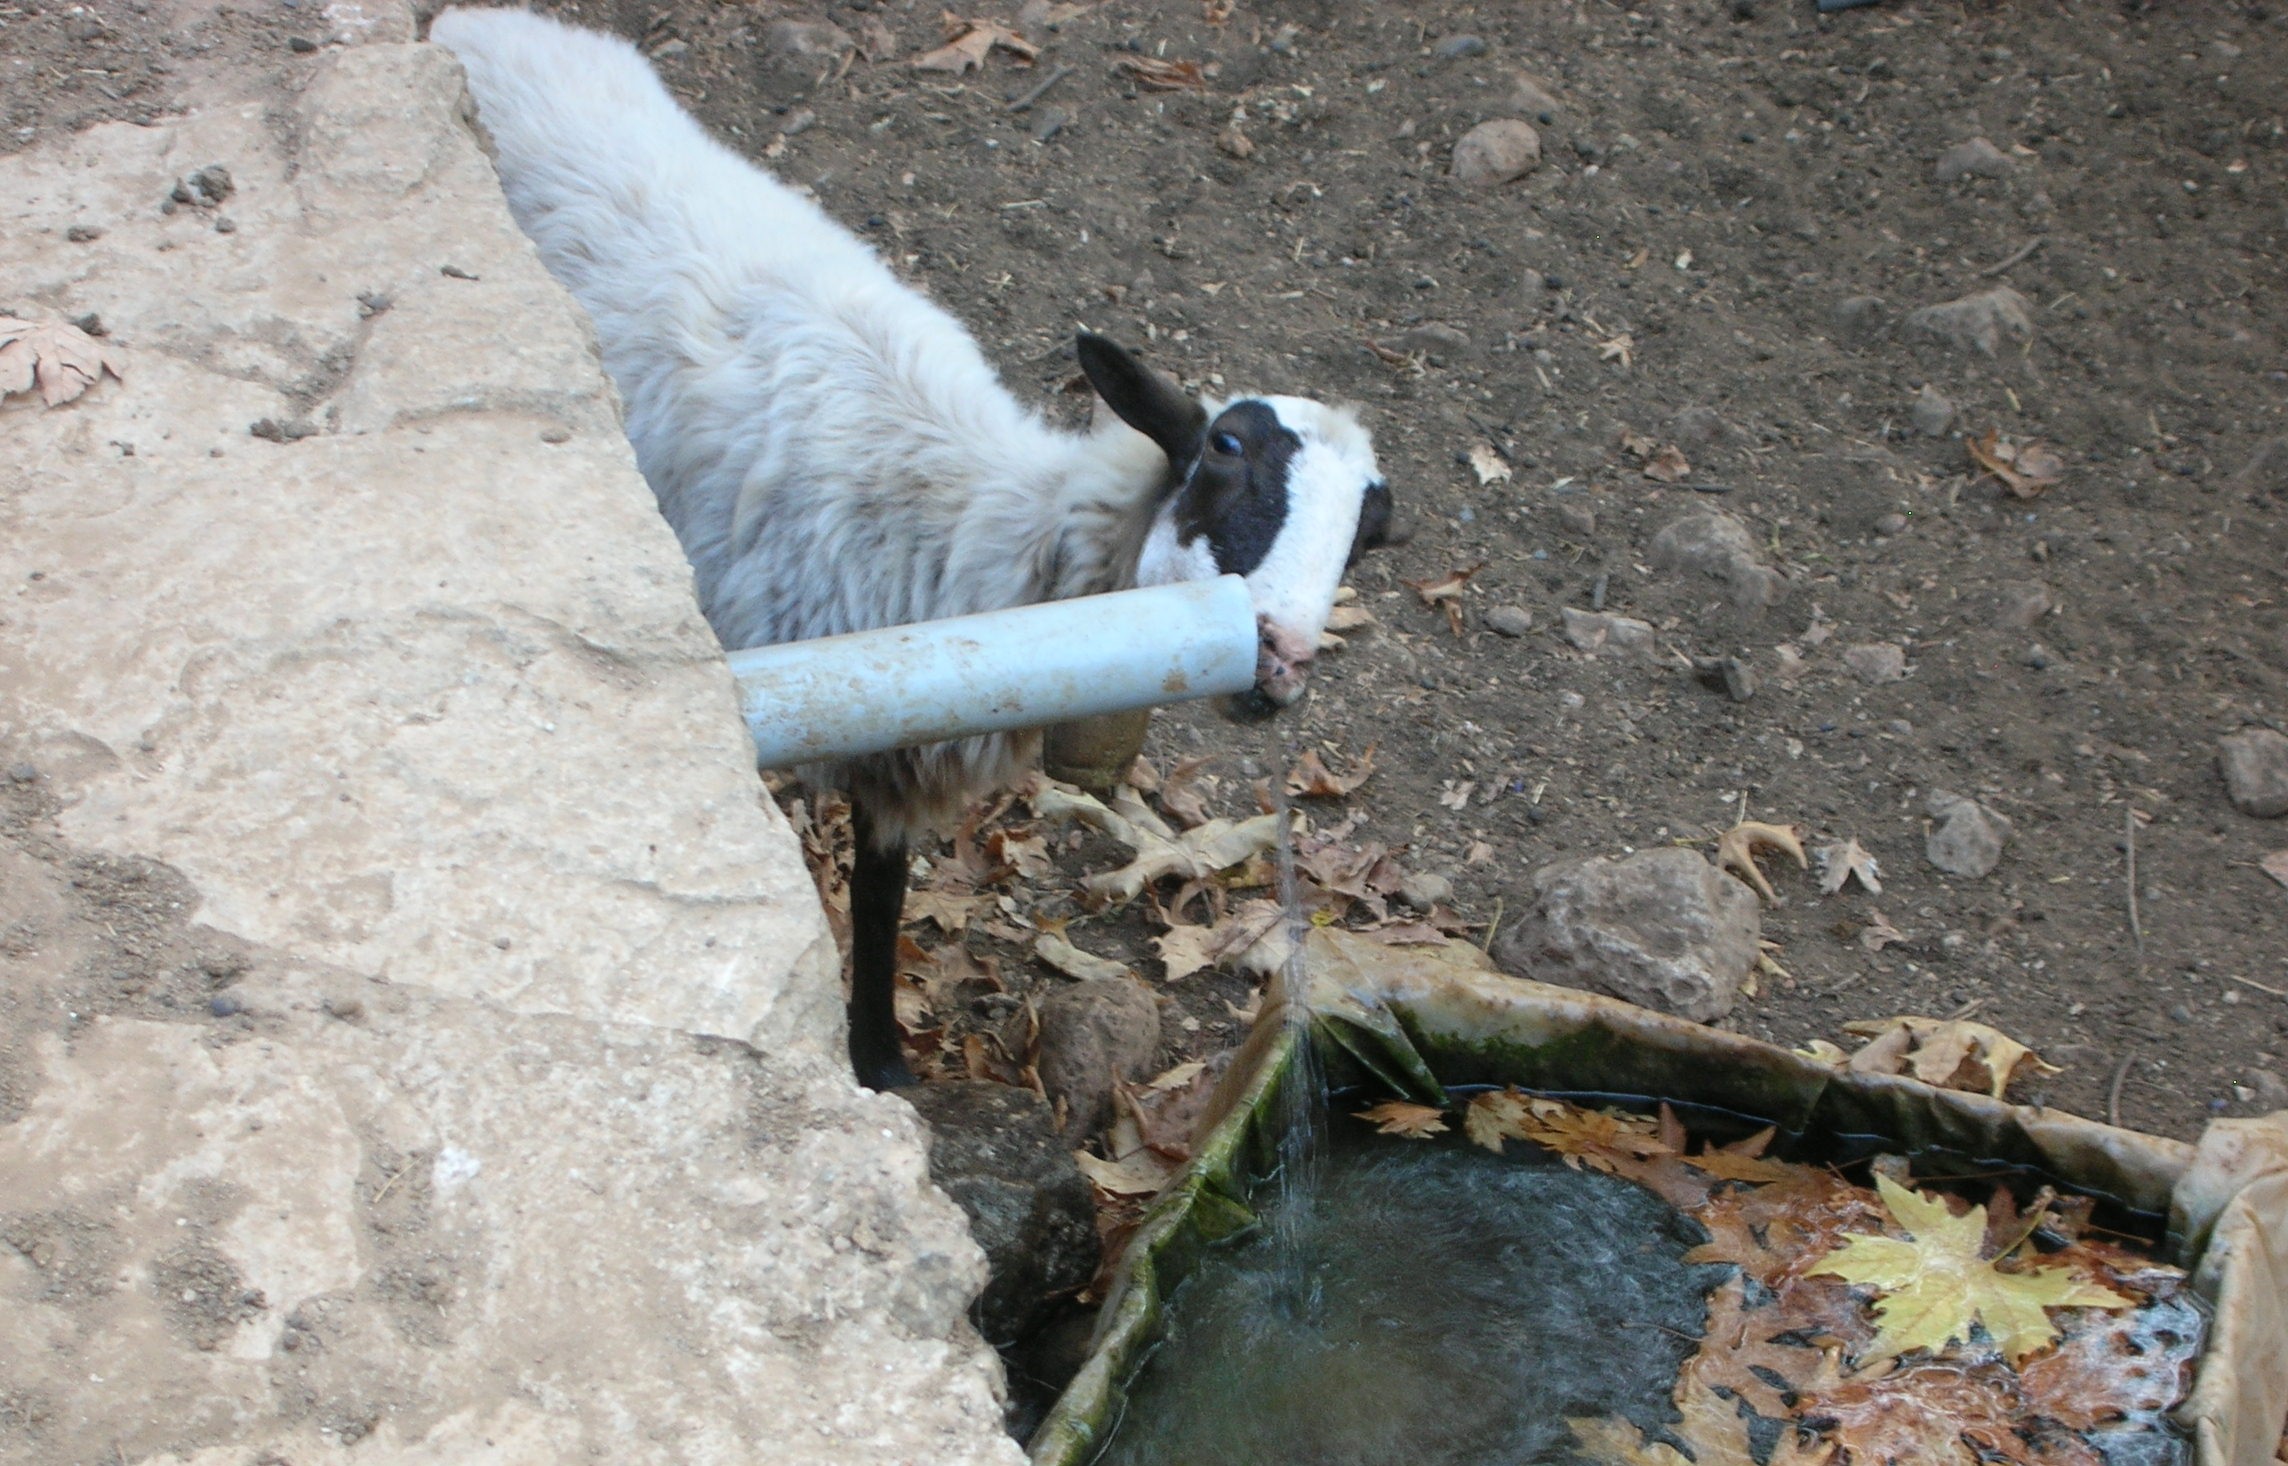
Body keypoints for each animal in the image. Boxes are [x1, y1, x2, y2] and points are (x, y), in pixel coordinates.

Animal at [432, 7, 1395, 1089]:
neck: (978, 522)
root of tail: (485, 24)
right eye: (1223, 450)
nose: (1283, 658)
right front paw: (869, 1058)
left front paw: (881, 1051)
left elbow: (884, 886)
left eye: (1373, 531)